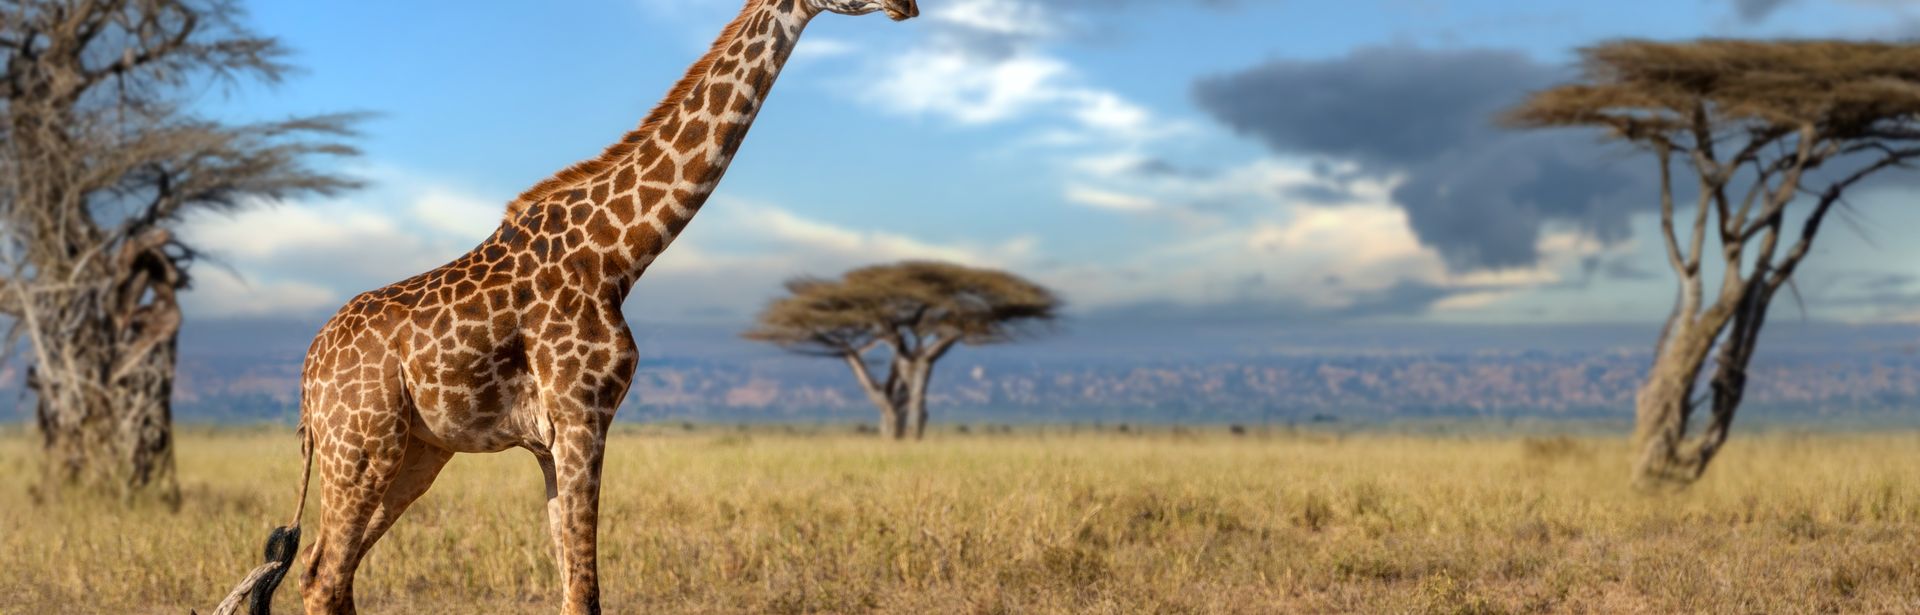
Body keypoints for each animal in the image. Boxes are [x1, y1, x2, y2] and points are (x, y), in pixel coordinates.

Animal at [219, 1, 920, 613]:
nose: (907, 5)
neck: (618, 253)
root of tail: (308, 374)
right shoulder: (584, 413)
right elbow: (585, 591)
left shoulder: (550, 438)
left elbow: (570, 583)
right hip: (361, 446)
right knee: (322, 575)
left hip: (415, 452)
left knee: (332, 574)